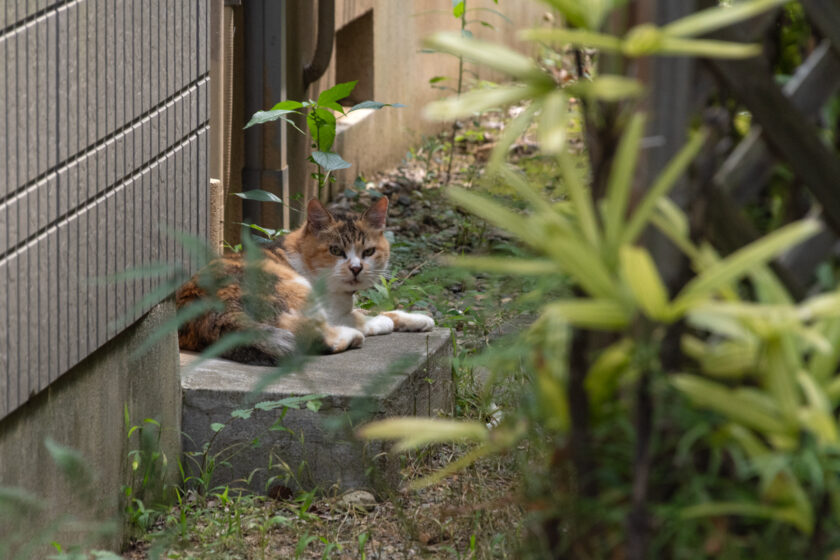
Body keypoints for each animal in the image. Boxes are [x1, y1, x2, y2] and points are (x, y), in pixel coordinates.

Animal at [175, 195, 436, 366]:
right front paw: (382, 322)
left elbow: (375, 310)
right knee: (316, 337)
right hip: (295, 290)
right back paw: (352, 336)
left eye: (369, 252)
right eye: (335, 250)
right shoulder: (331, 310)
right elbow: (364, 317)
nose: (356, 268)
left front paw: (418, 319)